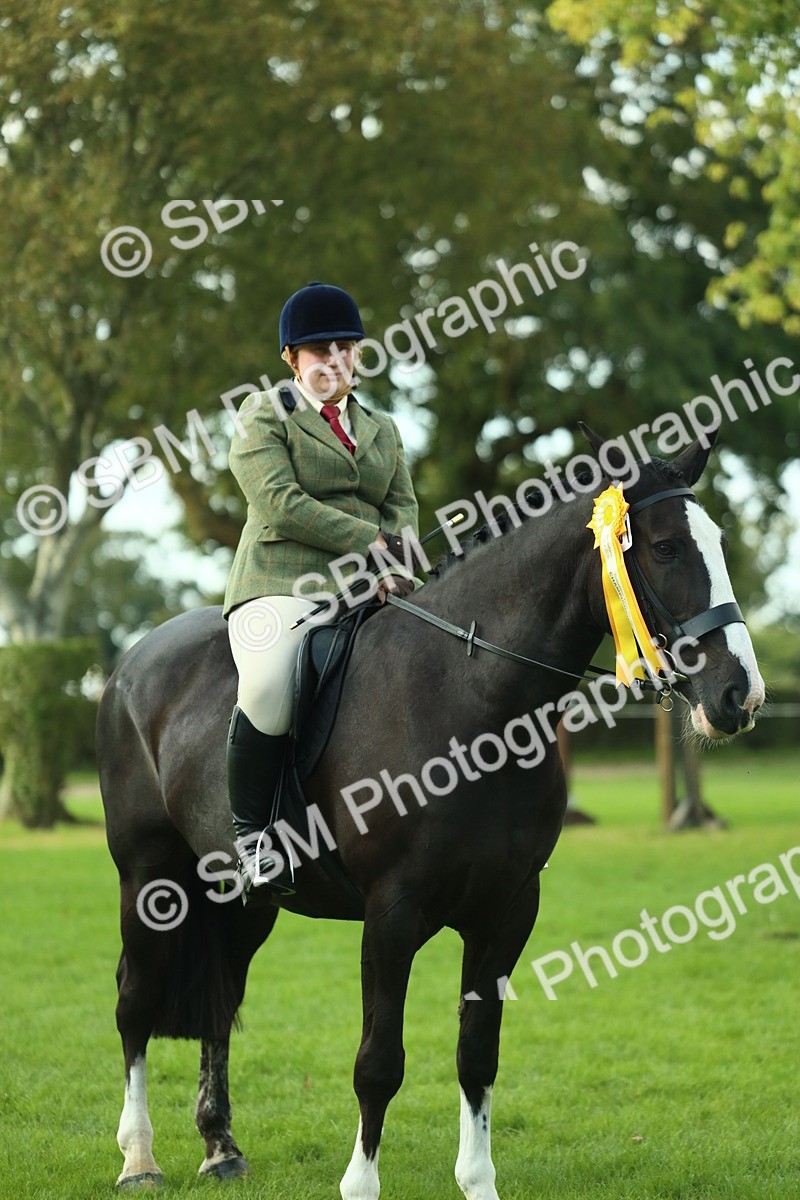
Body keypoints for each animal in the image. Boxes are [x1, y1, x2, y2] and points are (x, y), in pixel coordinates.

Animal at [96, 428, 764, 1199]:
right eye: (665, 548)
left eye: (716, 540)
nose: (740, 696)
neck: (472, 697)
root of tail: (131, 663)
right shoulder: (393, 911)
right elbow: (379, 1062)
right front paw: (360, 1185)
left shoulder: (508, 908)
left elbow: (478, 1054)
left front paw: (478, 1181)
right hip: (150, 881)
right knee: (135, 1000)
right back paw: (139, 1160)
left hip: (243, 899)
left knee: (220, 997)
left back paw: (220, 1147)